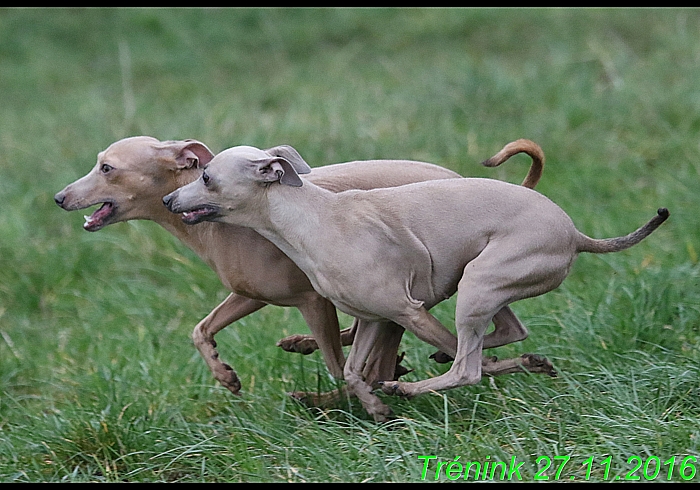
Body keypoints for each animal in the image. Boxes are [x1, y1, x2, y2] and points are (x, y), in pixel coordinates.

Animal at [54, 135, 552, 402]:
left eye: (106, 168)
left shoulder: (314, 300)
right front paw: (224, 374)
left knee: (389, 354)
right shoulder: (249, 294)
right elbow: (201, 329)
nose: (59, 197)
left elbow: (341, 368)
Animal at [163, 142, 668, 422]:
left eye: (205, 176)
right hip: (482, 282)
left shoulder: (406, 311)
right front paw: (375, 408)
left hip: (478, 284)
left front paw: (388, 396)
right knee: (505, 333)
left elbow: (474, 365)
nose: (168, 200)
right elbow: (353, 370)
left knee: (467, 365)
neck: (313, 218)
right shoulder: (375, 317)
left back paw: (410, 385)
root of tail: (576, 233)